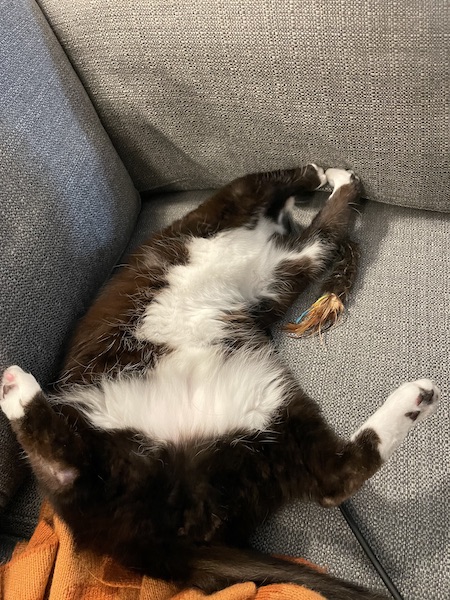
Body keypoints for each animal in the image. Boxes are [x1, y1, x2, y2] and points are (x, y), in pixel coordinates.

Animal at [0, 165, 438, 600]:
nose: (287, 220)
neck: (263, 230)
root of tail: (160, 548)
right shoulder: (235, 208)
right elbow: (275, 183)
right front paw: (325, 176)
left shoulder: (287, 261)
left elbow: (325, 227)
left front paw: (335, 185)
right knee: (69, 470)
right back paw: (16, 388)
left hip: (263, 425)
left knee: (333, 479)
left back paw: (417, 397)